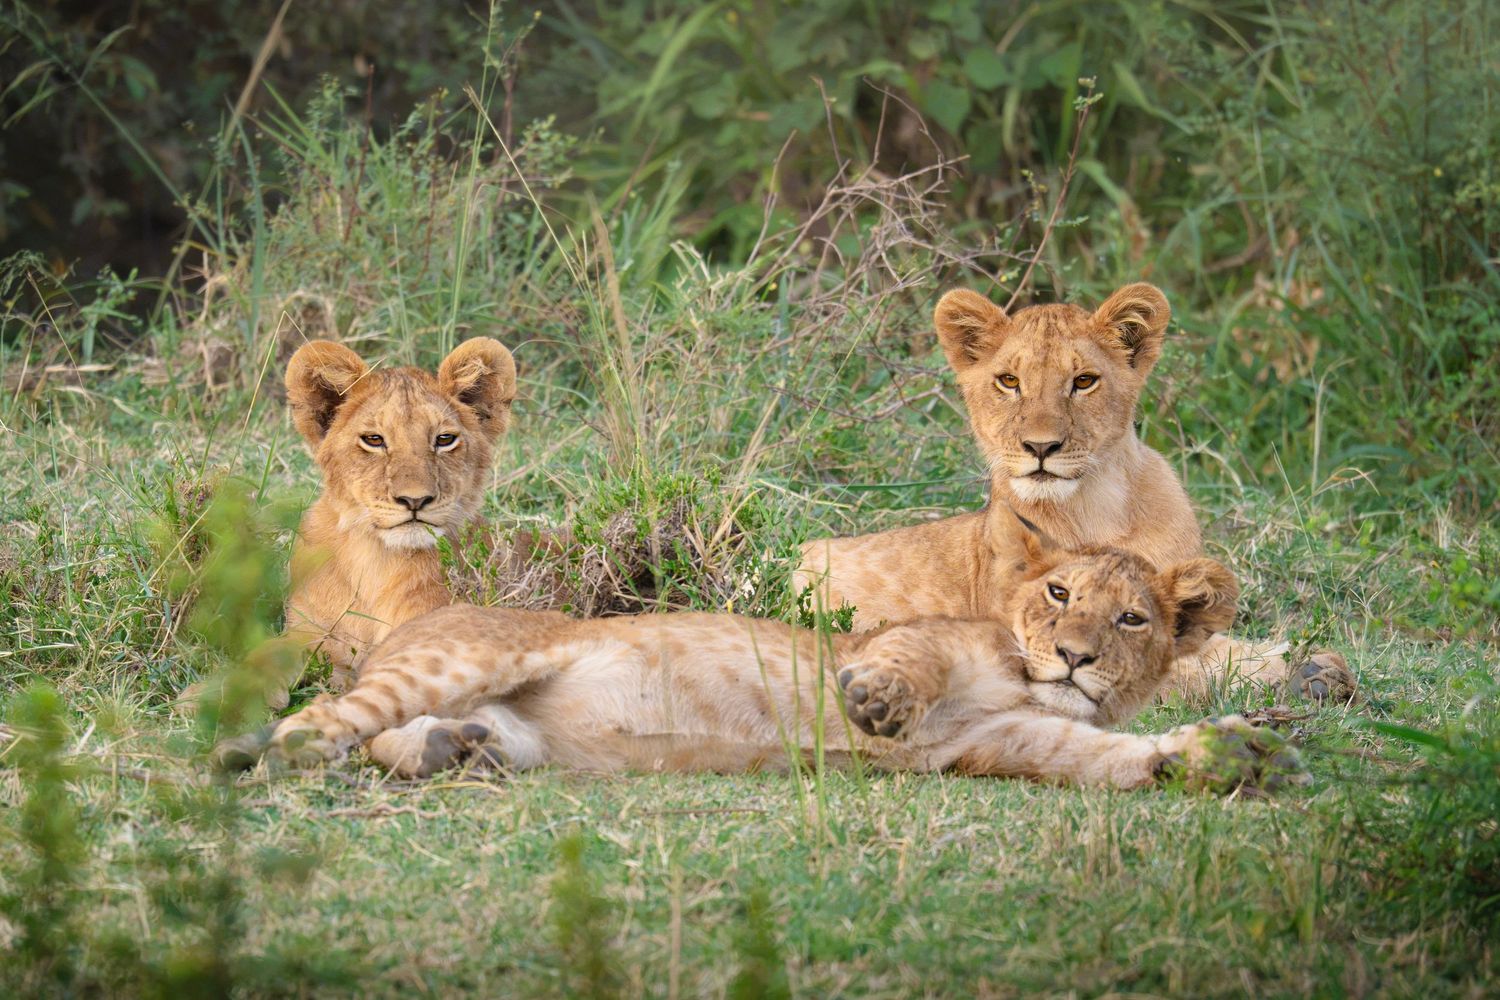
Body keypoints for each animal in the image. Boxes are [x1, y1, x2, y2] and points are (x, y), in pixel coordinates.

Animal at [190, 337, 517, 710]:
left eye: (445, 439)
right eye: (374, 440)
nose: (415, 500)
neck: (375, 558)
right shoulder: (307, 630)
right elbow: (265, 652)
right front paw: (204, 696)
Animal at [795, 283, 1356, 703]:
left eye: (1084, 381)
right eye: (1009, 381)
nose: (1041, 446)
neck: (1095, 507)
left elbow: (1217, 647)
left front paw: (1317, 666)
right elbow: (1171, 672)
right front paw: (1300, 675)